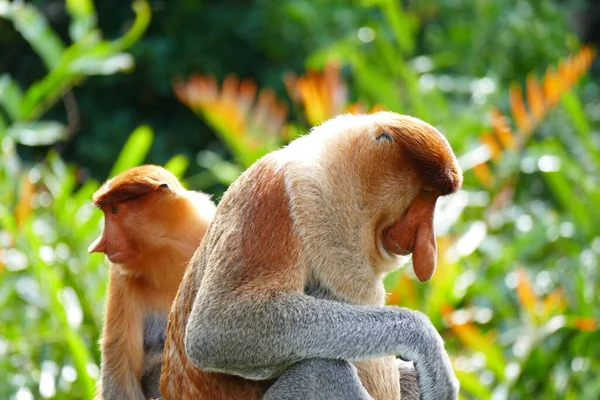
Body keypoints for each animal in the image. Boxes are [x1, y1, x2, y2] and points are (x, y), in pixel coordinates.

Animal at [90, 164, 217, 398]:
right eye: (107, 211)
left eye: (114, 211)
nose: (98, 245)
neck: (168, 250)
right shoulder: (121, 275)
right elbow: (119, 361)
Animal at [161, 111, 464, 398]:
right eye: (426, 192)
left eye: (433, 196)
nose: (428, 246)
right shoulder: (273, 196)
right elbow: (214, 329)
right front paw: (428, 346)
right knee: (321, 370)